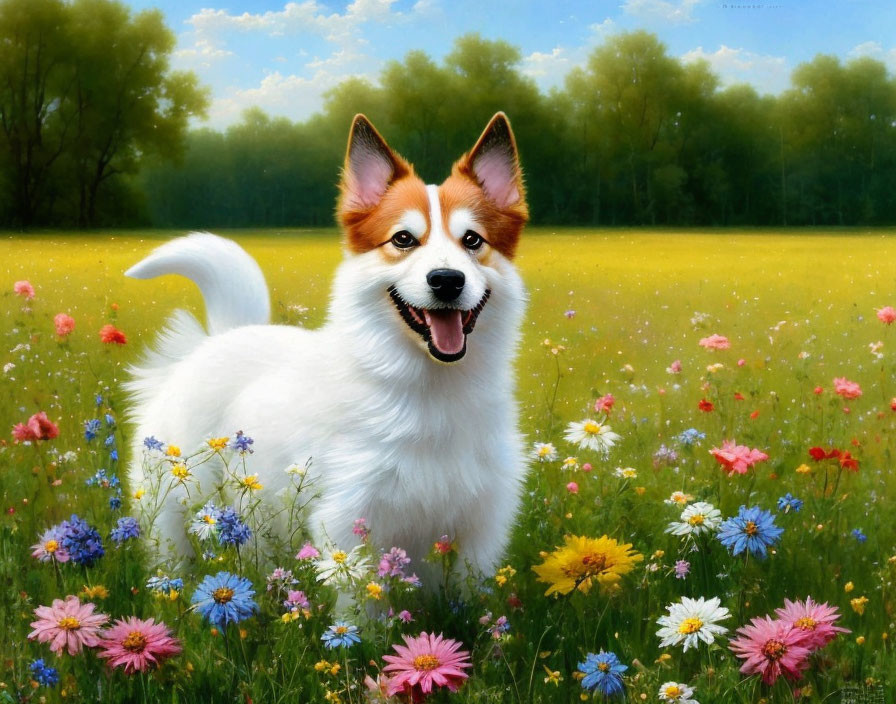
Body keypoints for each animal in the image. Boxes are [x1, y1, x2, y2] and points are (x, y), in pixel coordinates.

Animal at [127, 113, 532, 580]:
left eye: (473, 240)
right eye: (403, 239)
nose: (447, 280)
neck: (431, 388)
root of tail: (222, 336)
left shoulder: (480, 530)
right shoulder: (347, 517)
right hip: (177, 506)